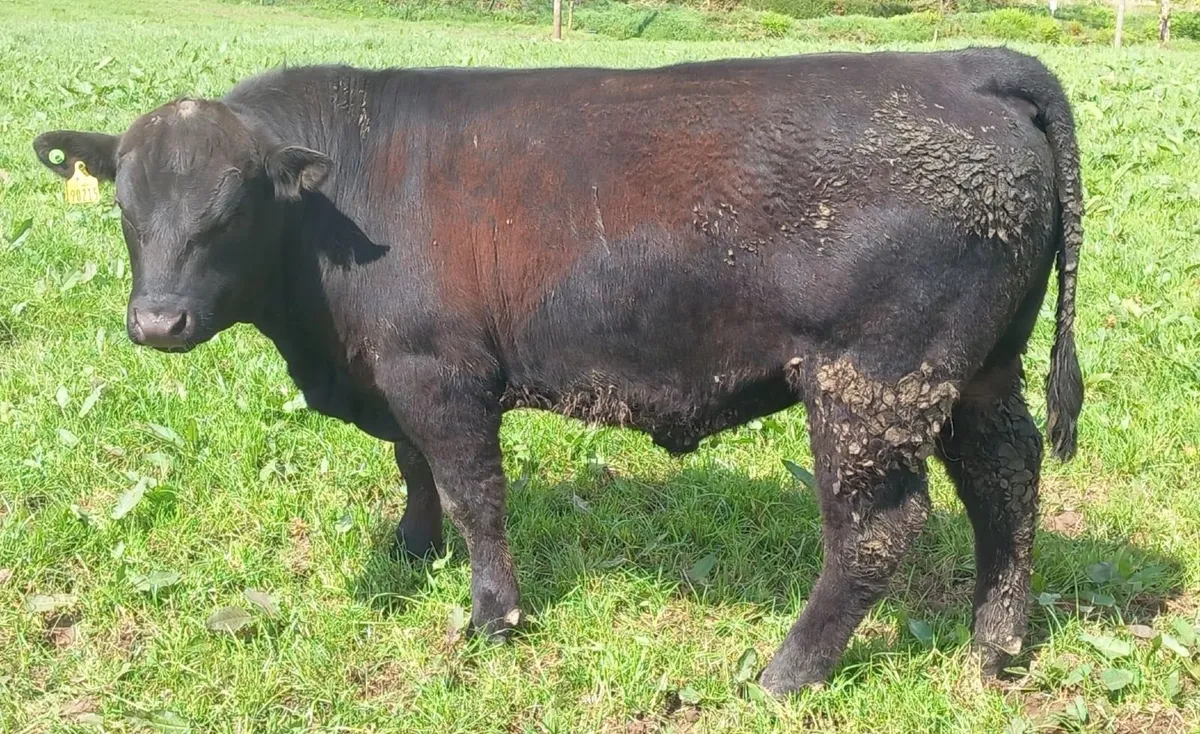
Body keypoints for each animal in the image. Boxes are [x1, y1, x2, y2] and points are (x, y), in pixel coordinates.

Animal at [32, 46, 1084, 696]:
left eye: (231, 208)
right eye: (126, 206)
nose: (156, 321)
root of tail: (968, 65)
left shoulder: (441, 373)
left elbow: (473, 492)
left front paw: (491, 616)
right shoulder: (397, 378)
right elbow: (415, 470)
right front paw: (411, 550)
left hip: (873, 384)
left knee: (878, 530)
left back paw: (785, 673)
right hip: (977, 373)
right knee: (1006, 478)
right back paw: (994, 645)